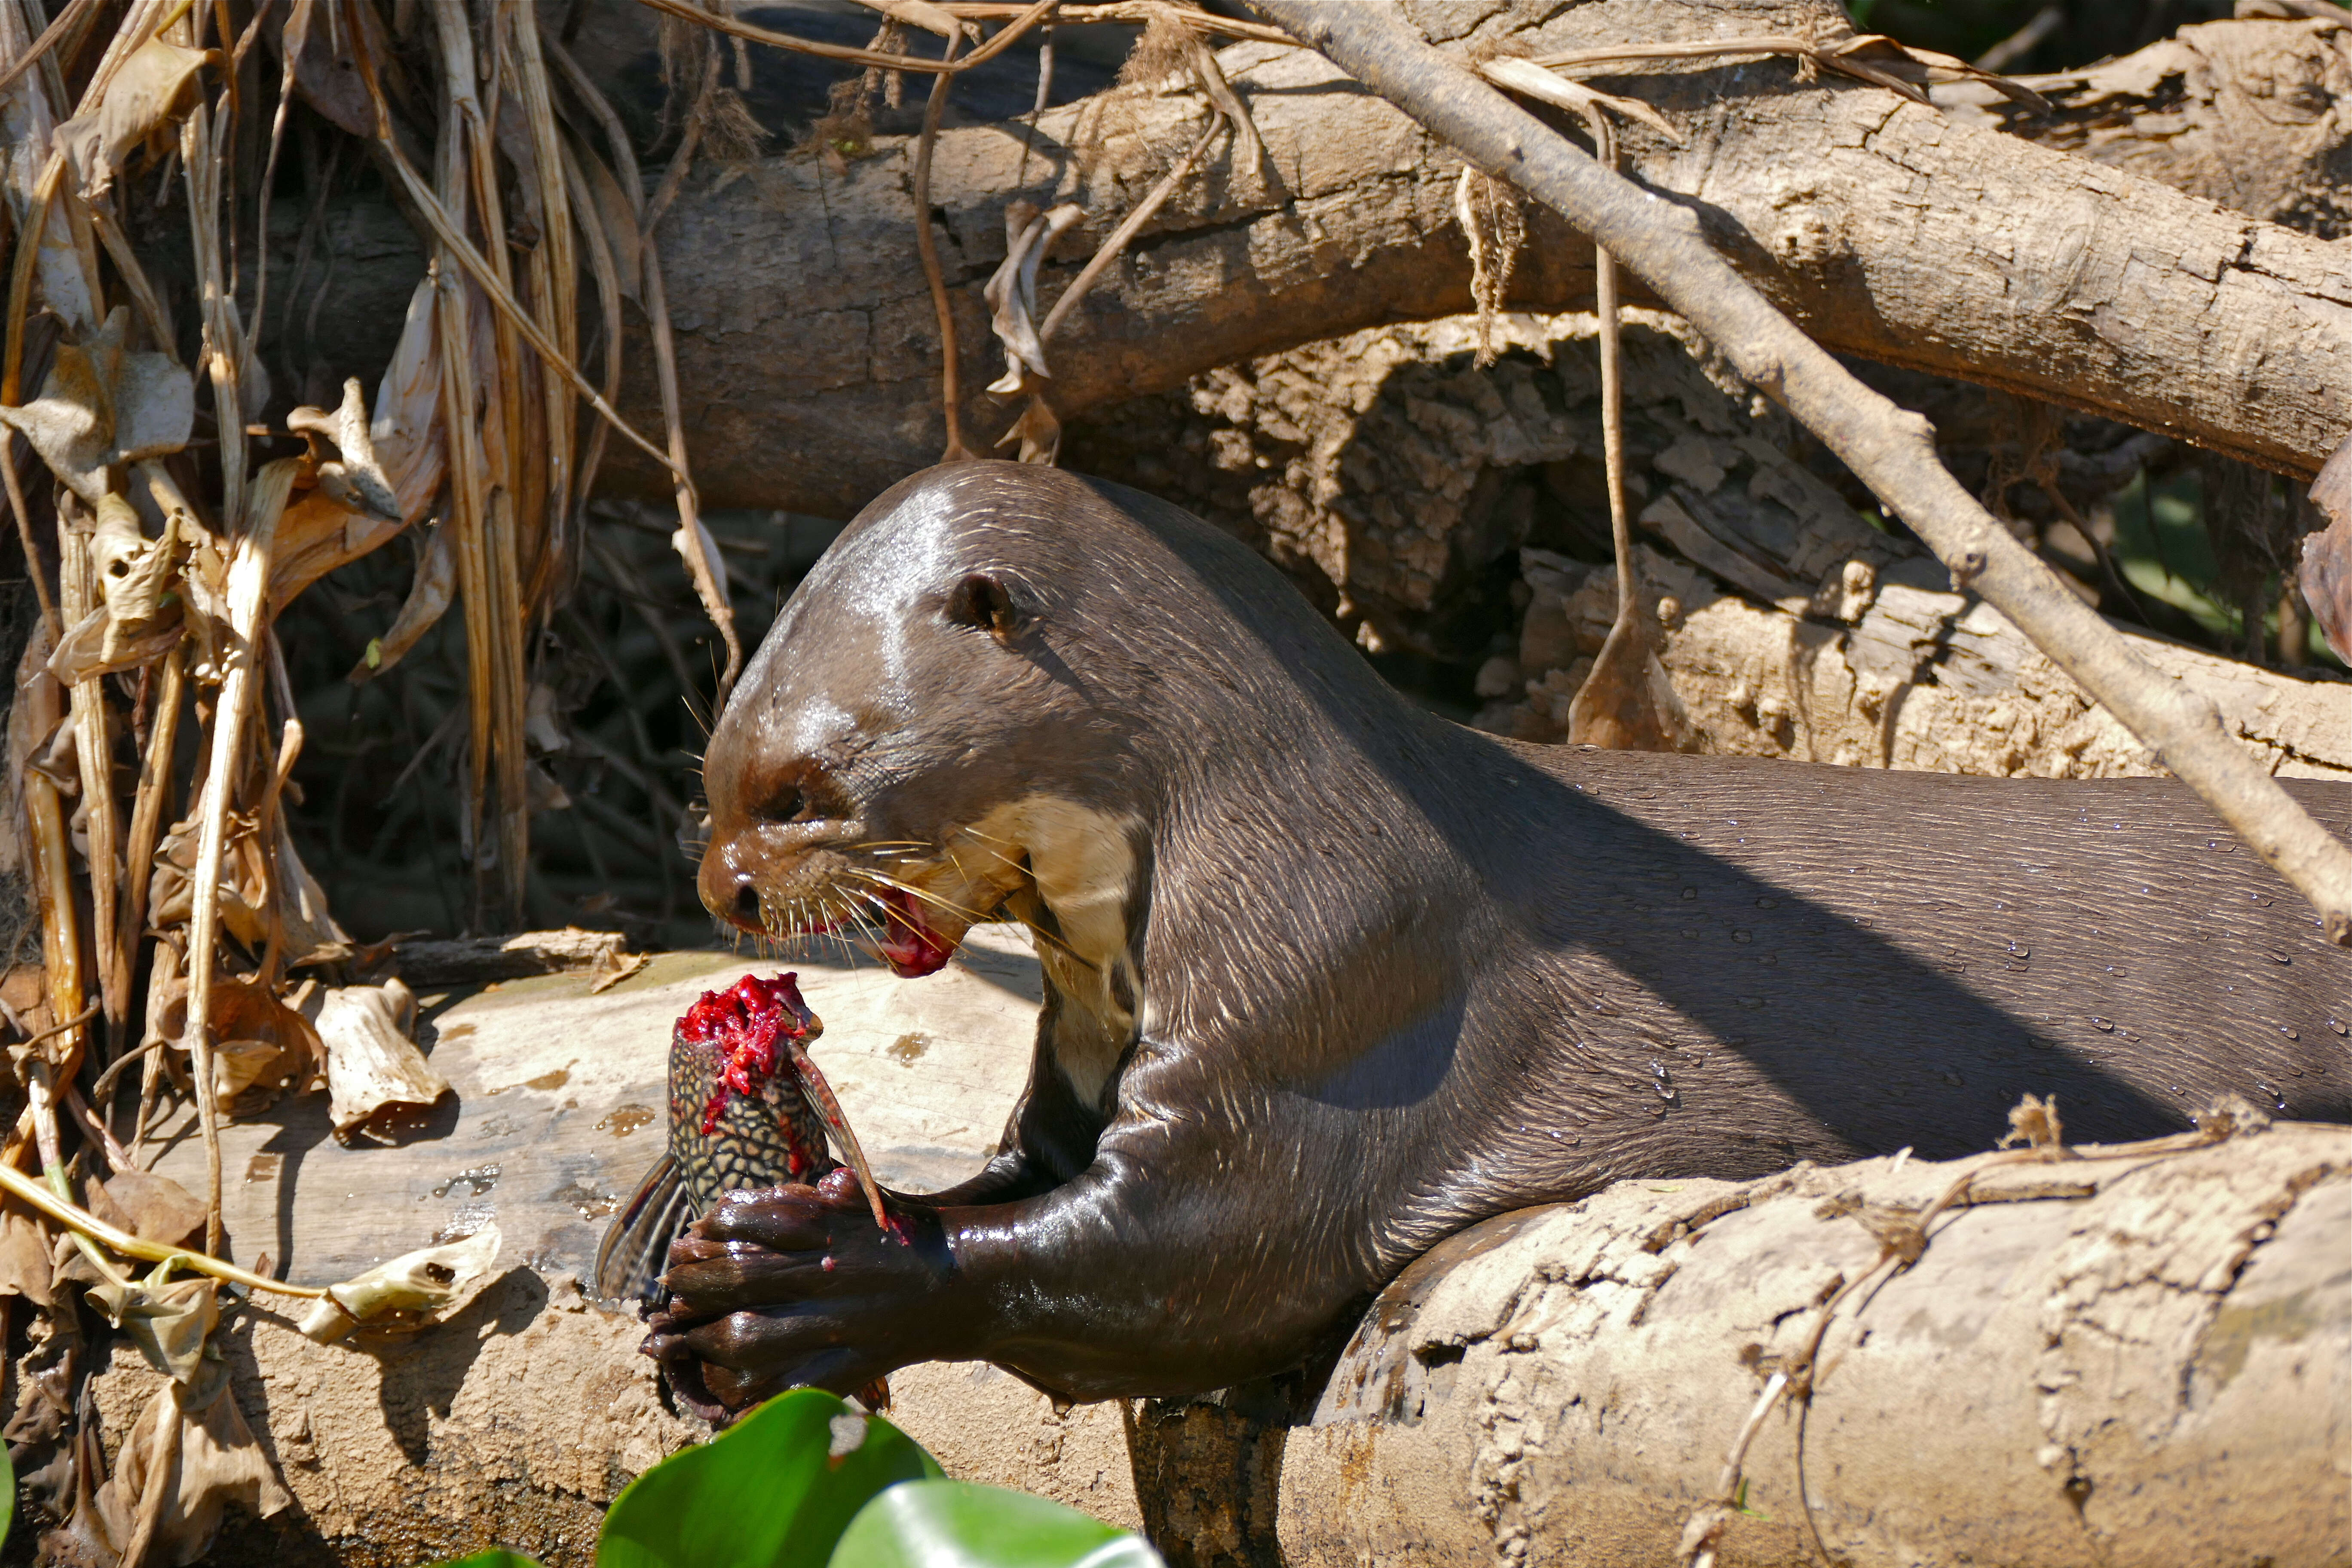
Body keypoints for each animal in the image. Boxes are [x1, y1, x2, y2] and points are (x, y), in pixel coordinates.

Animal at [654, 460, 2352, 1420]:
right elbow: (1005, 1180)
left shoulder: (1332, 990)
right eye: (711, 765)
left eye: (799, 787)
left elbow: (1191, 1253)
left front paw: (816, 1278)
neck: (1250, 830)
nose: (722, 886)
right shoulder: (1093, 1049)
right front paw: (709, 1262)